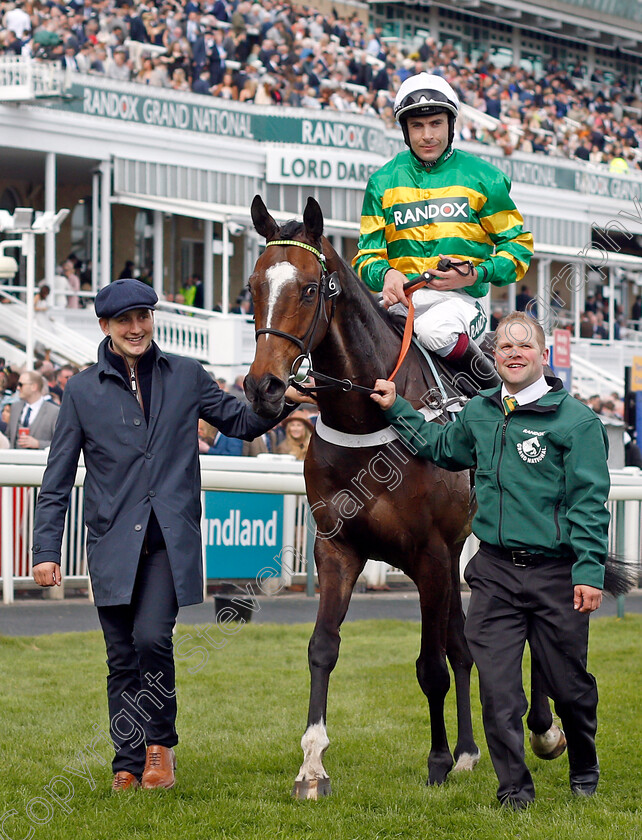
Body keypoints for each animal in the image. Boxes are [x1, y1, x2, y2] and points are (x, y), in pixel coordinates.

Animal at [245, 194, 564, 796]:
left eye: (309, 289)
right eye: (252, 286)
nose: (262, 387)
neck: (369, 418)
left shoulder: (429, 554)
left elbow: (430, 666)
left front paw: (437, 760)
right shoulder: (337, 548)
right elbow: (323, 648)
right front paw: (312, 764)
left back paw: (539, 730)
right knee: (466, 646)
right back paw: (471, 752)